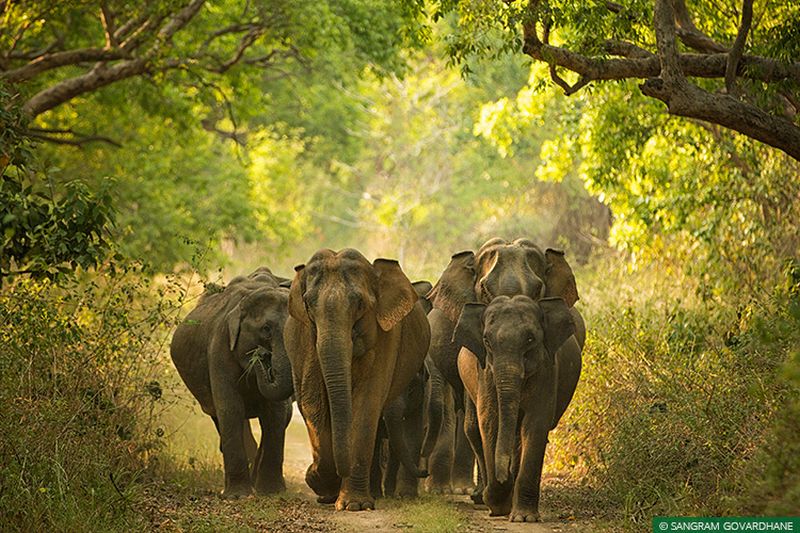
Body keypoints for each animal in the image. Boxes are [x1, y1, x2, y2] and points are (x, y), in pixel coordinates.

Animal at [171, 268, 294, 496]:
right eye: (266, 329)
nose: (262, 356)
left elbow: (276, 414)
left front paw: (271, 492)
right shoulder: (219, 347)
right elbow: (231, 408)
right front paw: (238, 496)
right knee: (218, 414)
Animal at [282, 247, 428, 510]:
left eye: (360, 304)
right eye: (308, 303)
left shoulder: (386, 336)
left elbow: (367, 402)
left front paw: (355, 505)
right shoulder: (306, 339)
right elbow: (313, 400)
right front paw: (320, 482)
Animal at [456, 294, 580, 520]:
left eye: (530, 339)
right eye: (486, 340)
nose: (503, 477)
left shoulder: (547, 370)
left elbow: (535, 424)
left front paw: (524, 517)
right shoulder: (485, 373)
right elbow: (490, 421)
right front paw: (497, 506)